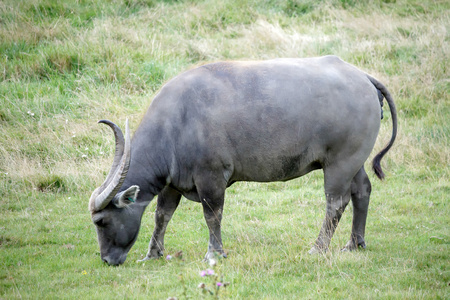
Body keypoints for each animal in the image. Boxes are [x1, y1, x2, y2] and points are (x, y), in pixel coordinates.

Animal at [89, 55, 398, 264]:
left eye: (101, 222)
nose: (106, 259)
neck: (176, 123)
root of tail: (363, 77)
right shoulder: (172, 182)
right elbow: (162, 215)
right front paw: (153, 253)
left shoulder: (211, 177)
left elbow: (212, 215)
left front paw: (214, 253)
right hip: (354, 162)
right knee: (362, 191)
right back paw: (354, 243)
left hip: (340, 163)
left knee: (336, 202)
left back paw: (319, 247)